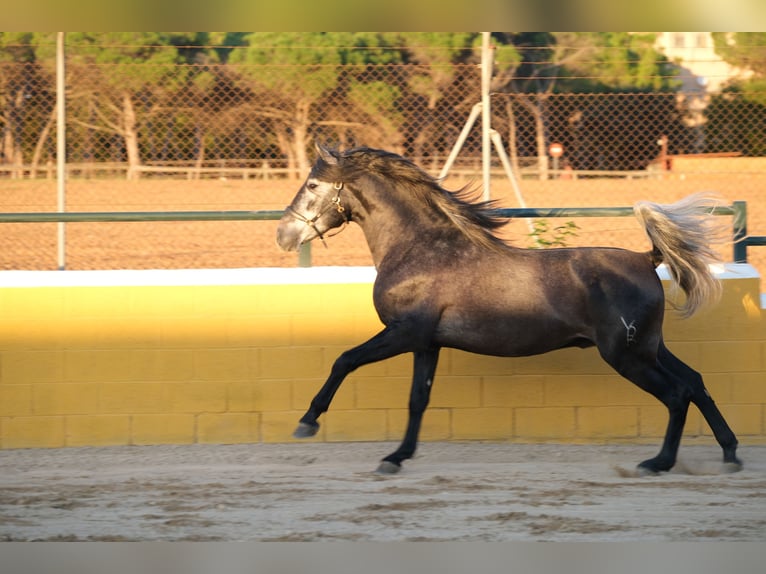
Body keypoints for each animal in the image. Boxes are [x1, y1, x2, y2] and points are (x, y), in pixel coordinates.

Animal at [276, 144, 744, 476]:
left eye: (313, 186)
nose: (283, 234)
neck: (420, 250)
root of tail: (648, 259)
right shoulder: (427, 343)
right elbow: (417, 400)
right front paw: (396, 457)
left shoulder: (404, 333)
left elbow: (344, 359)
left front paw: (307, 422)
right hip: (649, 348)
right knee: (695, 383)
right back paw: (730, 452)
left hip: (627, 356)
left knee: (677, 394)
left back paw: (658, 463)